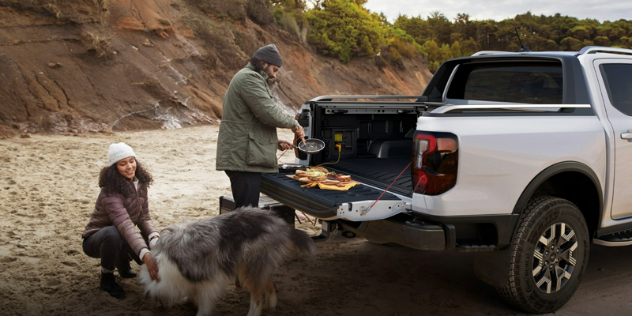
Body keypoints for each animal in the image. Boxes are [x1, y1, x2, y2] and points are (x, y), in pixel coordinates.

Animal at [139, 206, 316, 314]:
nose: (161, 306)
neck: (167, 263)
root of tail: (281, 224)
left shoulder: (208, 280)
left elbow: (204, 302)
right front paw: (189, 300)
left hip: (249, 267)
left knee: (257, 297)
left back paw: (254, 312)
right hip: (256, 267)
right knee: (270, 285)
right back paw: (271, 306)